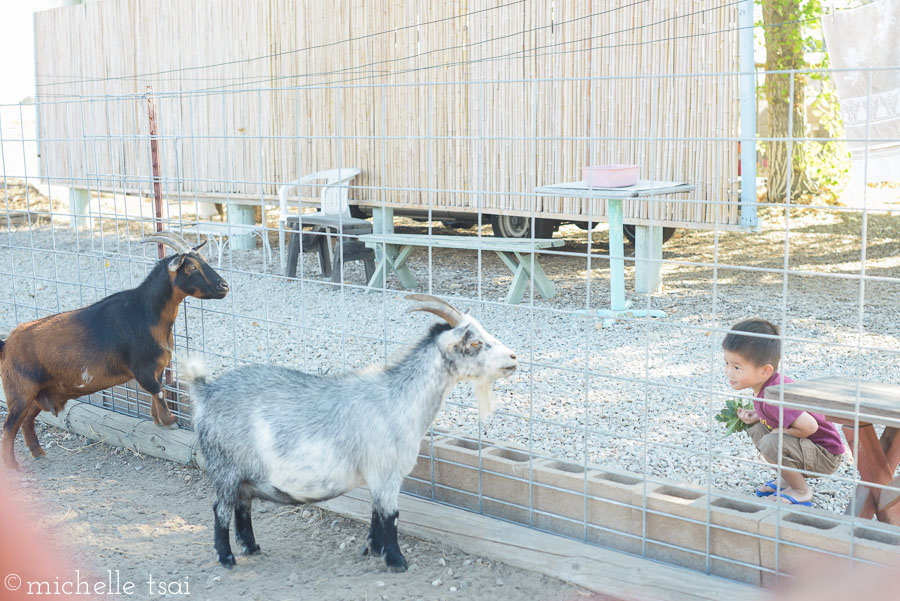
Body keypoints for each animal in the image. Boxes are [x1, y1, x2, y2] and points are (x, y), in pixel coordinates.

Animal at [0, 231, 229, 468]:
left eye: (204, 261)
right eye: (191, 267)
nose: (224, 286)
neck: (146, 313)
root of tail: (6, 345)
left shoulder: (156, 368)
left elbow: (158, 392)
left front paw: (157, 420)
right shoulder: (143, 368)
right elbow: (158, 391)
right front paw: (171, 422)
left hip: (37, 393)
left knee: (27, 421)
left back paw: (37, 453)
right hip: (20, 392)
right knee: (9, 427)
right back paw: (12, 465)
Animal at [181, 292, 520, 568]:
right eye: (475, 343)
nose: (514, 359)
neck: (400, 398)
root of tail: (206, 391)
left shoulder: (377, 475)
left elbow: (375, 513)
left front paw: (373, 549)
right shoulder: (386, 471)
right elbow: (390, 516)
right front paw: (396, 561)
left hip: (243, 474)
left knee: (243, 505)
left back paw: (251, 547)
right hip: (225, 468)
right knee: (220, 509)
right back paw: (227, 558)